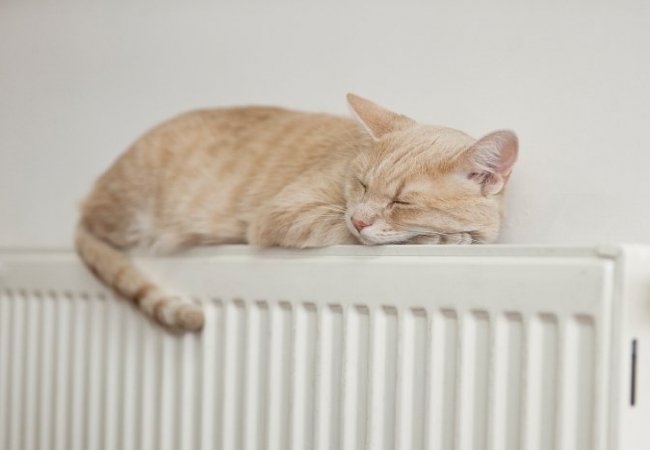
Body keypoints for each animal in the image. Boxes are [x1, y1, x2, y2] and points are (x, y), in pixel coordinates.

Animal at [75, 94, 518, 331]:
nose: (360, 217)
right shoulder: (286, 214)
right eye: (362, 184)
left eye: (401, 202)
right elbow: (352, 233)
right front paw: (442, 236)